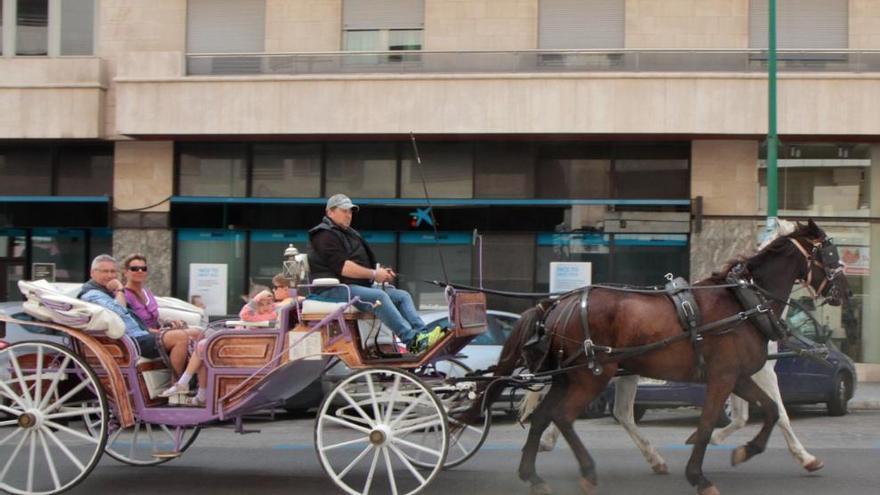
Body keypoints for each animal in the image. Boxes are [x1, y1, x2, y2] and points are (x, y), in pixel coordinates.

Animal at [470, 222, 848, 495]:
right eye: (830, 254)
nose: (845, 292)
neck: (743, 302)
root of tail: (560, 303)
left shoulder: (739, 376)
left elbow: (770, 411)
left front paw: (746, 451)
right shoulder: (724, 377)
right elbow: (715, 421)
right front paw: (699, 475)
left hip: (576, 375)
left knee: (547, 417)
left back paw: (533, 474)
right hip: (594, 374)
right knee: (564, 416)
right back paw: (587, 470)